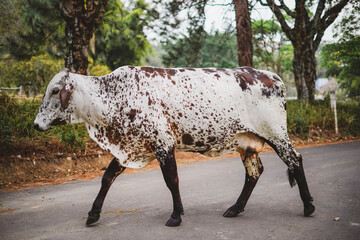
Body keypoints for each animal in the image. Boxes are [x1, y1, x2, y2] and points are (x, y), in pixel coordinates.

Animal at [33, 66, 316, 227]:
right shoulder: (132, 148)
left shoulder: (163, 143)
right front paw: (93, 214)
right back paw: (235, 208)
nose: (36, 124)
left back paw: (308, 206)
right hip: (246, 143)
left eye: (55, 90)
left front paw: (176, 215)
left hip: (276, 133)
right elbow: (107, 177)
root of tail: (273, 77)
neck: (113, 96)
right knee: (254, 172)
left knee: (295, 160)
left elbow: (172, 180)